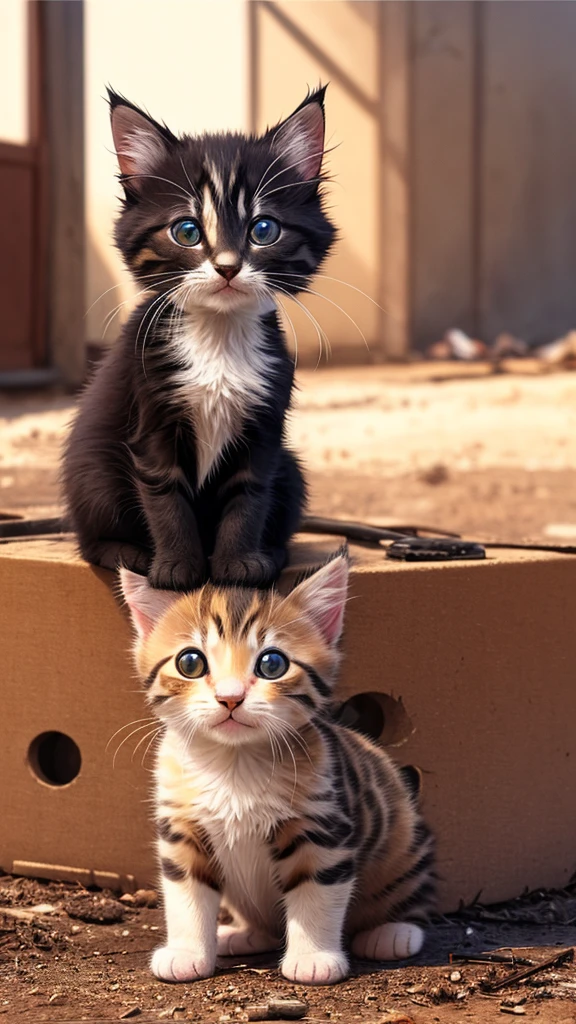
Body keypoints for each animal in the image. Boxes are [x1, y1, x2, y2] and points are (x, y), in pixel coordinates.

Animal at [63, 89, 334, 593]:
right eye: (187, 231)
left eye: (263, 229)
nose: (227, 267)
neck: (218, 336)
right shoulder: (149, 410)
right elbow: (164, 493)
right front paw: (176, 569)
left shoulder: (265, 425)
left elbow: (249, 494)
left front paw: (239, 564)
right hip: (91, 471)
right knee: (90, 534)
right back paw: (125, 551)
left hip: (292, 470)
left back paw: (272, 553)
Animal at [121, 557, 434, 987]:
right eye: (190, 662)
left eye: (272, 664)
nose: (230, 697)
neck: (233, 764)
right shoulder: (181, 828)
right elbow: (186, 893)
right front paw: (187, 953)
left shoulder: (323, 827)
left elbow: (315, 893)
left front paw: (313, 958)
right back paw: (243, 934)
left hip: (404, 838)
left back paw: (393, 933)